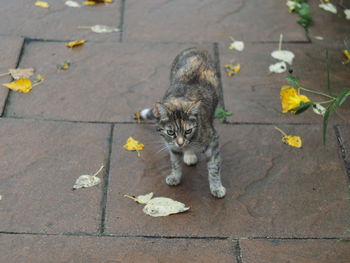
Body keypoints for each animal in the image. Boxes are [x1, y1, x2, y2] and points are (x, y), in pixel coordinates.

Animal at [138, 48, 226, 200]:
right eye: (170, 132)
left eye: (188, 131)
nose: (180, 143)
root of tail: (196, 47)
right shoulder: (171, 145)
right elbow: (175, 162)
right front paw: (175, 176)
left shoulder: (213, 140)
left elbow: (214, 167)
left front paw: (216, 187)